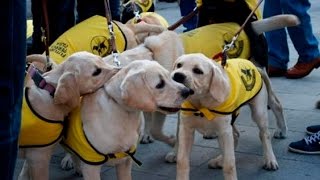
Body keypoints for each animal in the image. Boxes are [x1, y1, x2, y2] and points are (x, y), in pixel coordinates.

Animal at [60, 60, 192, 179]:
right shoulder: (91, 165)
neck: (122, 112)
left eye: (169, 76)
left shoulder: (125, 160)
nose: (187, 91)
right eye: (160, 84)